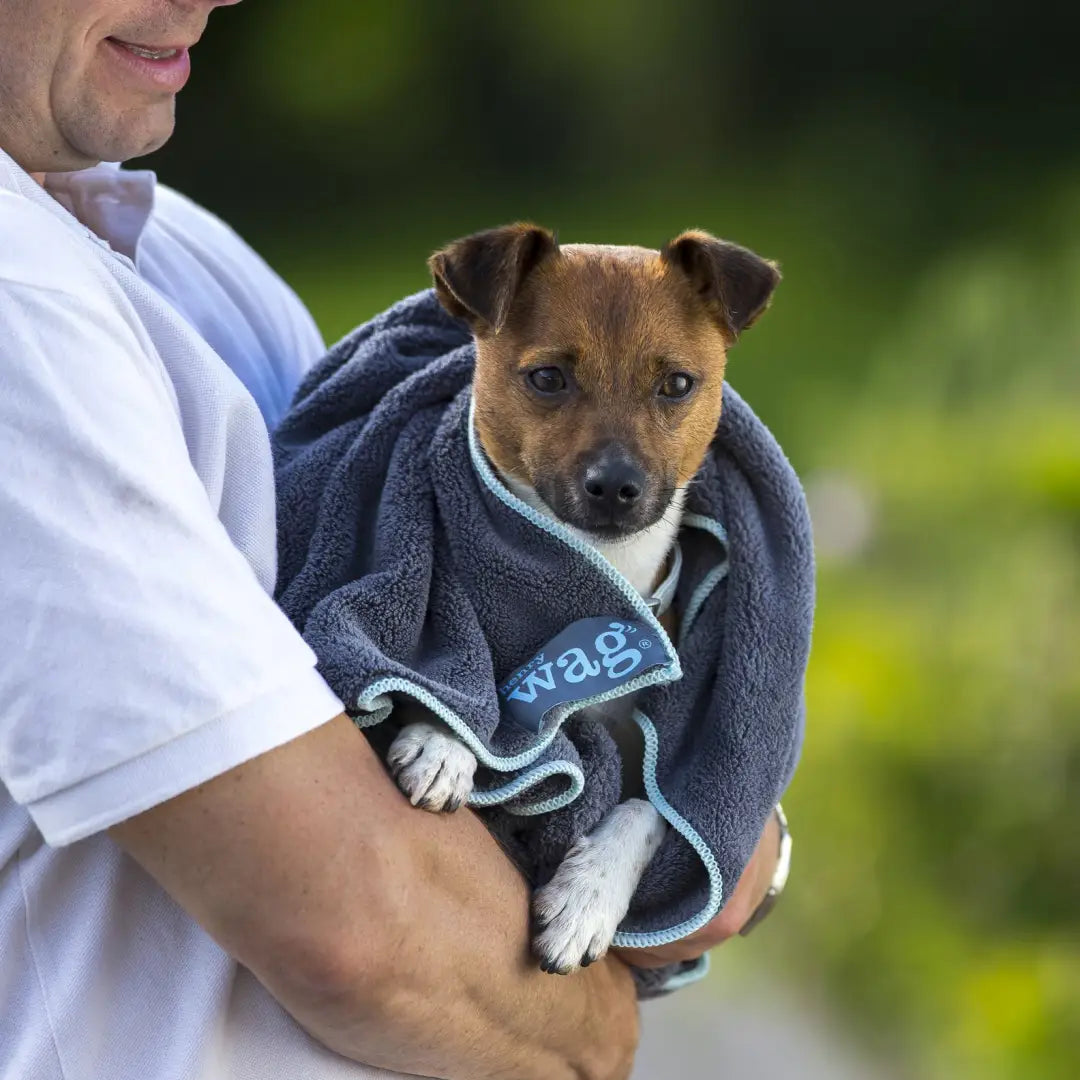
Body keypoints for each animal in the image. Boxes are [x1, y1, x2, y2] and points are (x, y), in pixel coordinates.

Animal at [380, 223, 777, 976]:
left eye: (677, 384)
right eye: (547, 378)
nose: (615, 485)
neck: (600, 576)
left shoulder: (671, 755)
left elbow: (648, 811)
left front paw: (584, 900)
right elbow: (472, 673)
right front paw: (447, 741)